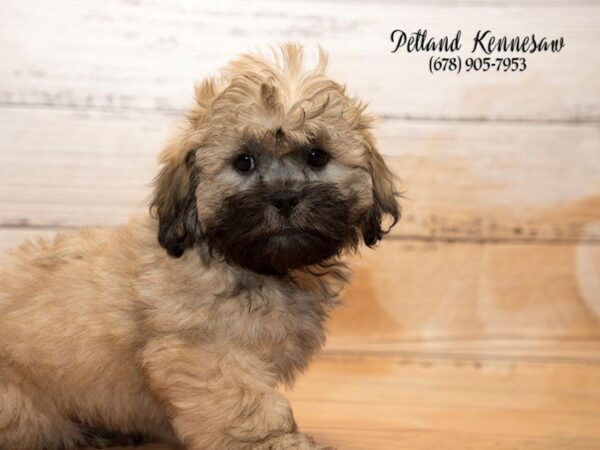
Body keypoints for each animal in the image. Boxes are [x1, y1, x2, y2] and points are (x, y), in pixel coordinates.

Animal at [0, 43, 398, 450]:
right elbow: (242, 401)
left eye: (317, 156)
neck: (247, 264)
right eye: (243, 161)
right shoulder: (202, 350)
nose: (285, 198)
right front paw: (272, 440)